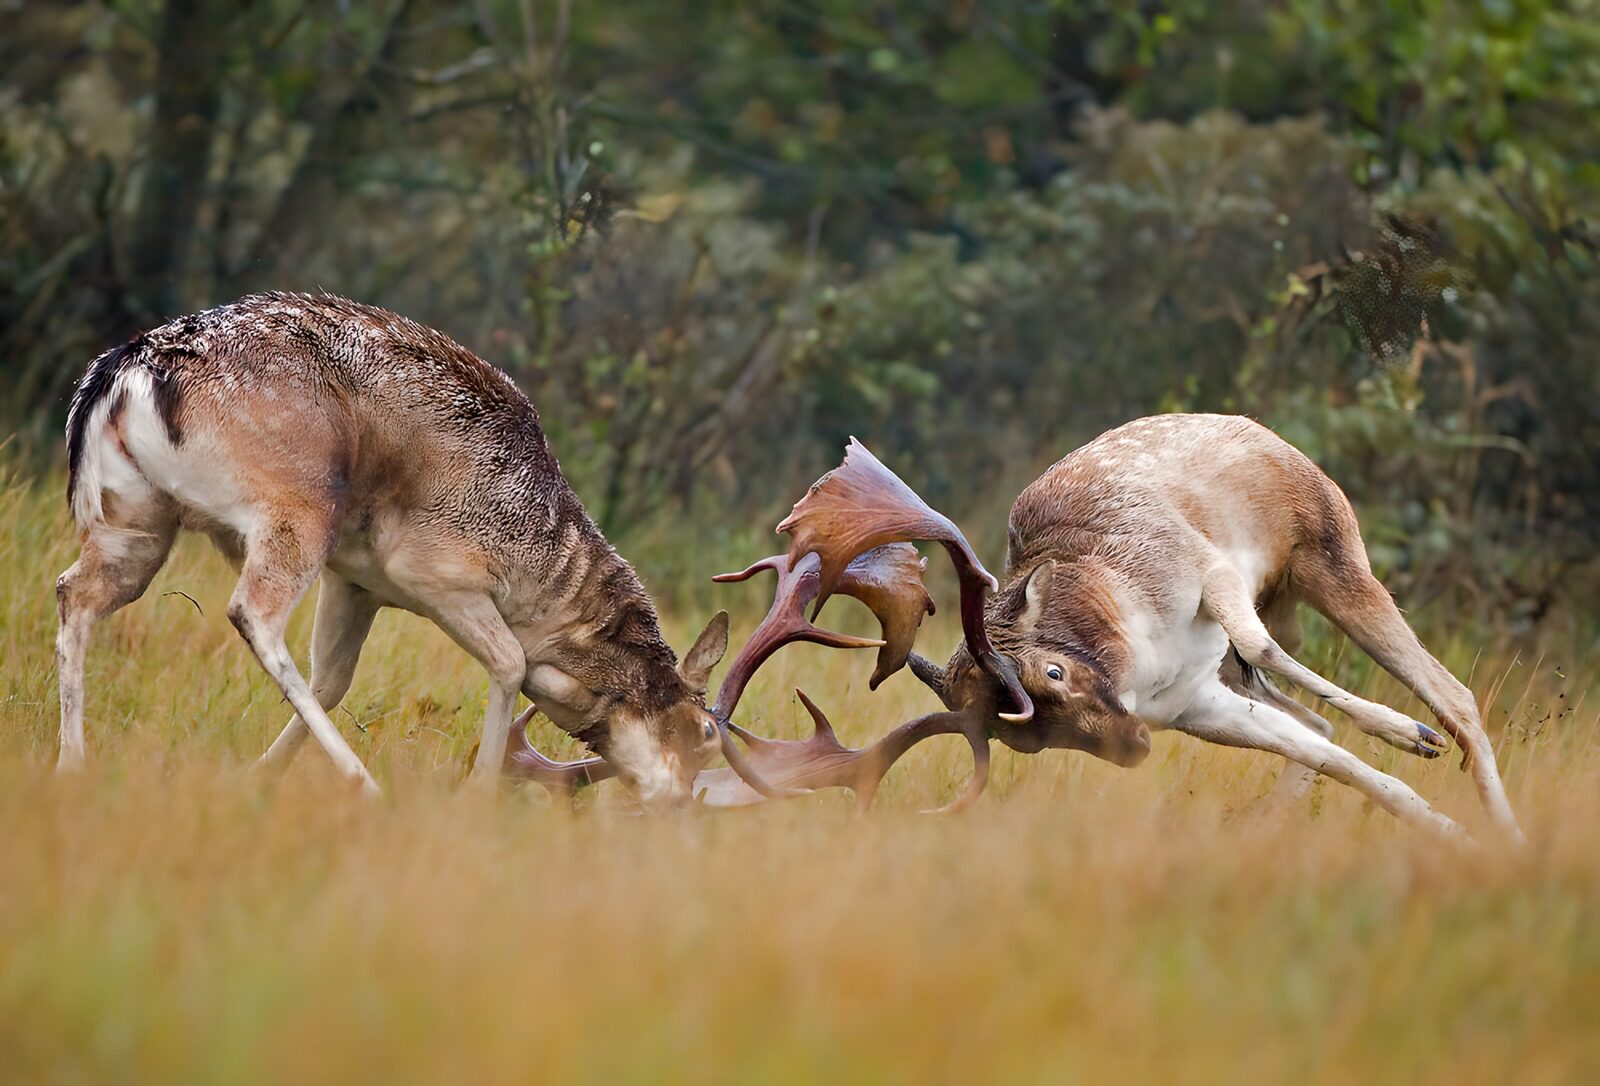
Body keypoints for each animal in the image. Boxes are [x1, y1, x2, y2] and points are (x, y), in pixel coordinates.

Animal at [56, 291, 784, 807]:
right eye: (705, 736)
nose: (679, 802)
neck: (544, 583)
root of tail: (125, 370)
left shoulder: (358, 583)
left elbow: (333, 679)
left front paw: (255, 776)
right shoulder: (434, 572)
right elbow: (510, 663)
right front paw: (479, 792)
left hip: (135, 518)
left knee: (74, 593)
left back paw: (72, 762)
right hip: (297, 512)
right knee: (250, 612)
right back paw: (363, 782)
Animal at [666, 417, 1521, 843]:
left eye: (1052, 674)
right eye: (1029, 742)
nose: (1132, 748)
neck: (1129, 639)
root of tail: (1270, 433)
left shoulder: (1207, 570)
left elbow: (1269, 653)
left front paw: (1411, 738)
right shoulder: (1194, 703)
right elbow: (1330, 752)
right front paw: (1442, 827)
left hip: (1329, 552)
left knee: (1456, 693)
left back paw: (1499, 814)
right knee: (1313, 722)